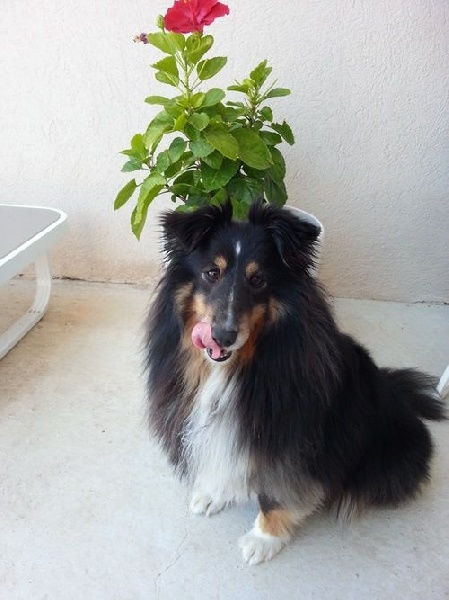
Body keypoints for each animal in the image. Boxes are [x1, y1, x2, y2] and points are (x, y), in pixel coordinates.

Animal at [144, 199, 444, 564]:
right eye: (211, 273)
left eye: (258, 280)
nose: (222, 337)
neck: (233, 368)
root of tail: (393, 388)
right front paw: (214, 493)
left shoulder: (289, 439)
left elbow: (275, 492)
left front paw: (262, 540)